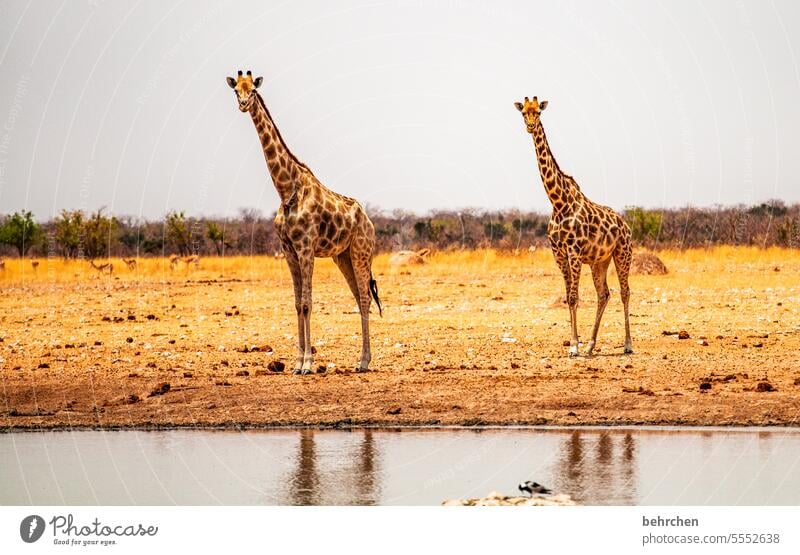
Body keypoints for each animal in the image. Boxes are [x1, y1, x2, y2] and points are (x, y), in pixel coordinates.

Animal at [228, 69, 384, 374]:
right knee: (359, 298)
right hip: (342, 256)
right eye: (236, 90)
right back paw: (361, 360)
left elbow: (308, 303)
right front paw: (297, 362)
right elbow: (297, 303)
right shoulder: (289, 250)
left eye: (253, 89)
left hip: (361, 251)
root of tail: (369, 221)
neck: (286, 188)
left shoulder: (306, 248)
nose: (242, 104)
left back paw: (363, 361)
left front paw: (308, 364)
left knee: (364, 297)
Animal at [516, 96, 636, 358]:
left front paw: (573, 347)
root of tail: (626, 225)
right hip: (600, 261)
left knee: (625, 292)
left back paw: (628, 344)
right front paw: (576, 344)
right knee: (604, 294)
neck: (558, 201)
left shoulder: (574, 252)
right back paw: (591, 345)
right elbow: (569, 297)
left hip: (623, 253)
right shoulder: (559, 254)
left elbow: (574, 296)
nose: (530, 126)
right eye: (523, 113)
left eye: (538, 112)